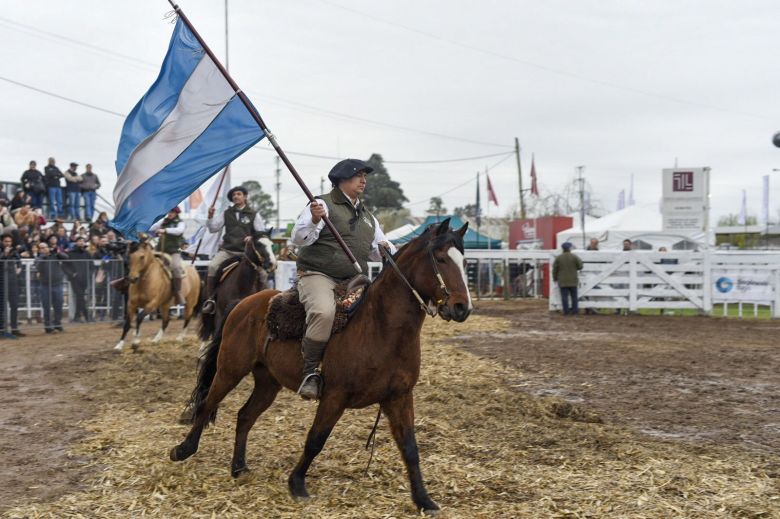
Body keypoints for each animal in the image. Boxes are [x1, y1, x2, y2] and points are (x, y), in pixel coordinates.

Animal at [171, 219, 472, 516]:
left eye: (464, 261)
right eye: (441, 259)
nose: (462, 308)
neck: (380, 325)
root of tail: (243, 304)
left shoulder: (399, 397)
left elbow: (410, 448)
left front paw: (424, 500)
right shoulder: (334, 397)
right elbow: (316, 439)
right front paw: (296, 484)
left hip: (268, 383)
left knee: (245, 416)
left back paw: (239, 467)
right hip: (230, 370)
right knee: (207, 404)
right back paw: (183, 449)